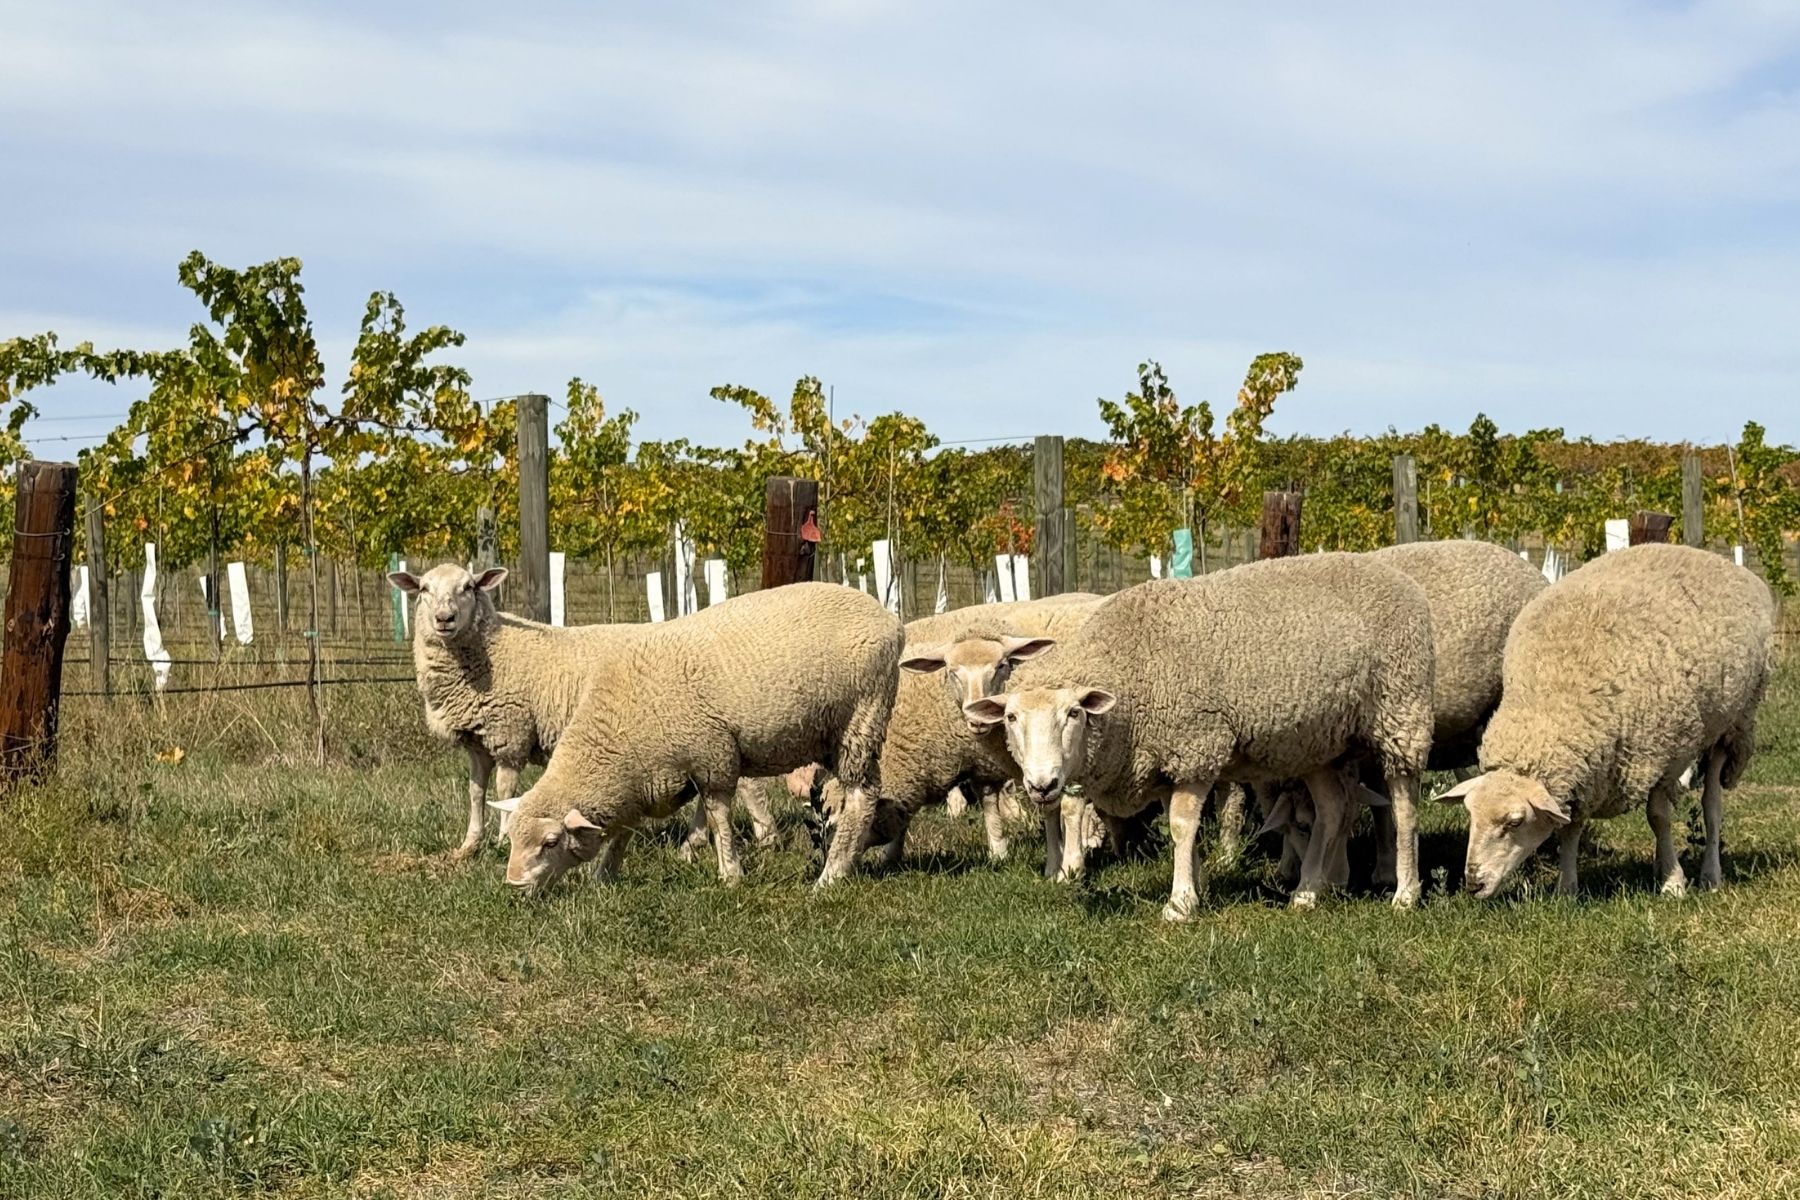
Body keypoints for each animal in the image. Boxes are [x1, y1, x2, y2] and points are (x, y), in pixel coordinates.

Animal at [489, 582, 903, 893]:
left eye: (550, 842)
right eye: (513, 839)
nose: (513, 885)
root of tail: (890, 620)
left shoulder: (712, 756)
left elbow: (718, 816)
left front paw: (730, 874)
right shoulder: (644, 781)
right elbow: (624, 829)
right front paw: (604, 875)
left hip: (861, 718)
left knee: (862, 795)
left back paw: (831, 875)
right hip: (834, 734)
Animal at [964, 554, 1436, 918]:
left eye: (1074, 713)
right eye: (1011, 718)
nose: (1042, 784)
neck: (1129, 674)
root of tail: (1394, 575)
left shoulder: (1195, 747)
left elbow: (1180, 825)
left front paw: (1180, 903)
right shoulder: (1162, 761)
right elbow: (1181, 829)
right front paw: (1197, 884)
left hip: (1401, 710)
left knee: (1404, 807)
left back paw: (1404, 894)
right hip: (1318, 743)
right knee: (1334, 809)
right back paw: (1308, 892)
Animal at [1438, 543, 1774, 899]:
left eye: (1514, 822)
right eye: (1470, 815)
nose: (1473, 884)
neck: (1553, 701)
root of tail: (1705, 555)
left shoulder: (1663, 756)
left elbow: (1658, 818)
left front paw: (1673, 883)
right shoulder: (1584, 772)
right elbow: (1570, 827)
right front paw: (1567, 888)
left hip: (1731, 724)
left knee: (1712, 807)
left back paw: (1710, 873)